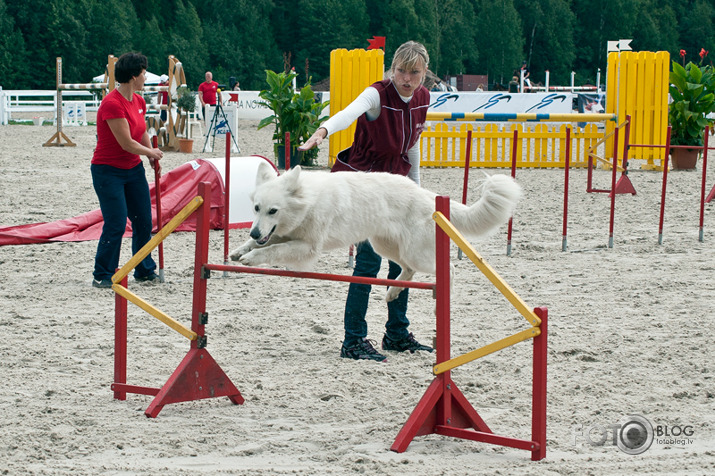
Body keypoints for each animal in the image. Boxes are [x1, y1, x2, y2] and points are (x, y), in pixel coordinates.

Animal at [232, 162, 524, 300]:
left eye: (273, 210)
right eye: (256, 208)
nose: (254, 232)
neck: (308, 201)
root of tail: (428, 196)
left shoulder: (306, 247)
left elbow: (274, 250)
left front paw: (251, 257)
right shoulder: (280, 234)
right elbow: (266, 244)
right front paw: (240, 250)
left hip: (416, 252)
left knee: (447, 268)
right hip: (385, 246)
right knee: (407, 270)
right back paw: (393, 292)